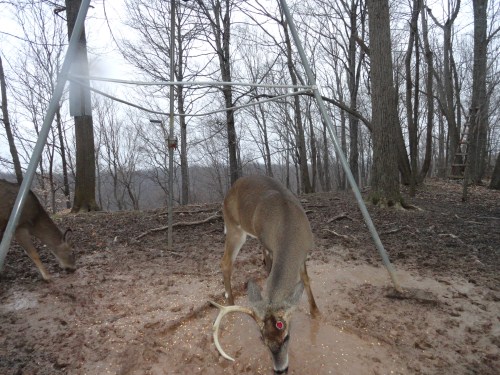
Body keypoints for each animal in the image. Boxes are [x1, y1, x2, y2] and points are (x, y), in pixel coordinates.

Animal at [209, 176, 318, 375]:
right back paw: (230, 300)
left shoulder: (304, 253)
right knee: (225, 262)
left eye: (287, 337)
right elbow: (269, 274)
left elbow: (306, 280)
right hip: (234, 226)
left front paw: (316, 313)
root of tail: (232, 188)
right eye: (263, 341)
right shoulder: (268, 245)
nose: (280, 369)